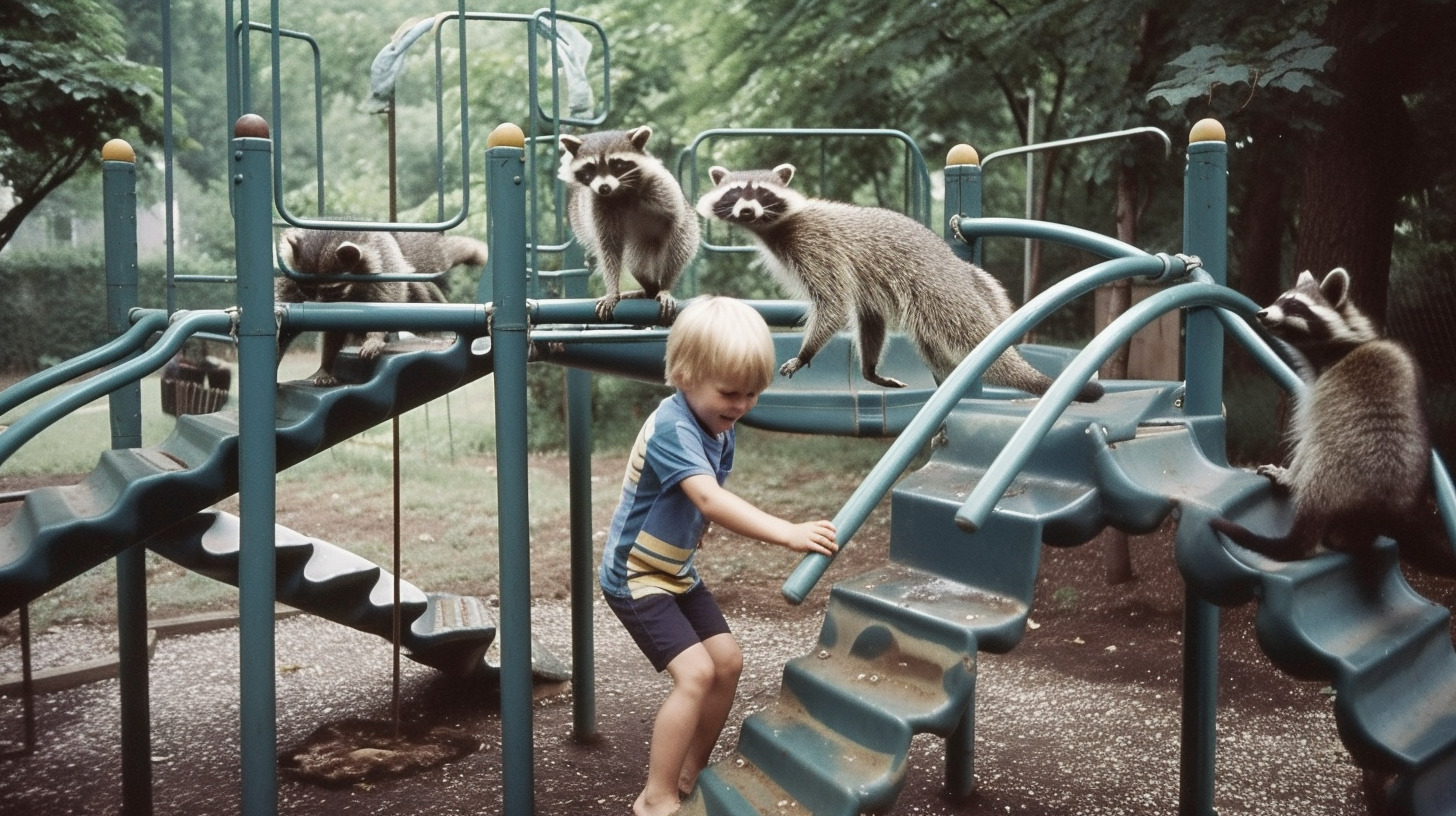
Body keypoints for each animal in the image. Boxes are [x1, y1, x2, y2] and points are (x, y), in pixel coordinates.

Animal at [275, 225, 492, 384]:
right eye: (307, 290)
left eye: (332, 290)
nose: (314, 307)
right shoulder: (291, 277)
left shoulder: (382, 268)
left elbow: (385, 304)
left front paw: (376, 336)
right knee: (332, 333)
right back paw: (326, 366)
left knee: (417, 289)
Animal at [556, 124, 698, 322]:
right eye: (590, 167)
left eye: (617, 164)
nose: (604, 187)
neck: (620, 190)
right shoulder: (599, 206)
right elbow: (608, 247)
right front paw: (612, 290)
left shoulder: (662, 188)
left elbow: (679, 230)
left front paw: (666, 287)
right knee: (635, 265)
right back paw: (648, 288)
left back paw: (658, 286)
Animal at [693, 161, 1100, 402]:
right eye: (734, 193)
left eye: (761, 193)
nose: (747, 210)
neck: (771, 227)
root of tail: (960, 272)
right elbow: (862, 314)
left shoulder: (818, 247)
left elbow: (832, 304)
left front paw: (806, 352)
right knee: (894, 330)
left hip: (939, 291)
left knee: (960, 334)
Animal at [1205, 269, 1444, 574]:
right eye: (1279, 299)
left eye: (1295, 306)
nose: (1262, 313)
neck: (1343, 346)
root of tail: (1383, 508)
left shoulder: (1322, 393)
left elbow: (1307, 433)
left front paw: (1289, 472)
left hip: (1335, 471)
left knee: (1317, 446)